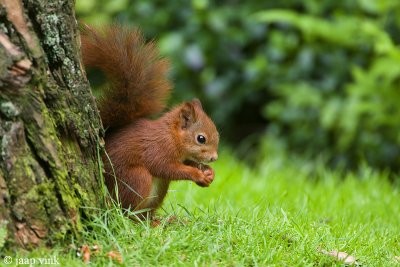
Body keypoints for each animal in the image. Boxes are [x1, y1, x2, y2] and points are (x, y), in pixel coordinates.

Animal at [80, 24, 220, 218]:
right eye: (201, 138)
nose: (214, 158)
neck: (172, 136)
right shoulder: (158, 149)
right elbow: (167, 168)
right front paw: (197, 174)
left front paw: (209, 172)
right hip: (136, 179)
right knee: (127, 211)